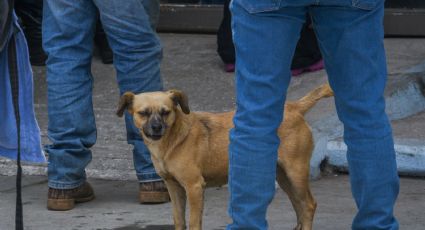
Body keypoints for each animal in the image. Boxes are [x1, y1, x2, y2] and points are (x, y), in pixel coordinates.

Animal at [117, 84, 332, 230]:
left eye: (165, 112)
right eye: (143, 113)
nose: (156, 128)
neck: (171, 141)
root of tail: (295, 107)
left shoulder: (194, 187)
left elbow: (194, 222)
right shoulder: (173, 186)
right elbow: (179, 220)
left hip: (296, 172)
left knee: (309, 205)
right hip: (283, 176)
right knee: (299, 205)